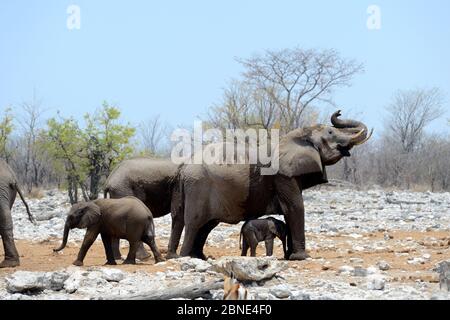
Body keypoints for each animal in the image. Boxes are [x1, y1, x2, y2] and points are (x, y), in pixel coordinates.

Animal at [179, 110, 372, 260]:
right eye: (331, 132)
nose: (338, 112)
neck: (297, 135)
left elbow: (290, 211)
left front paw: (292, 256)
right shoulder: (283, 175)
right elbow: (295, 207)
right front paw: (301, 258)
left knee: (206, 226)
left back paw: (198, 257)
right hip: (198, 186)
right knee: (194, 223)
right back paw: (185, 257)